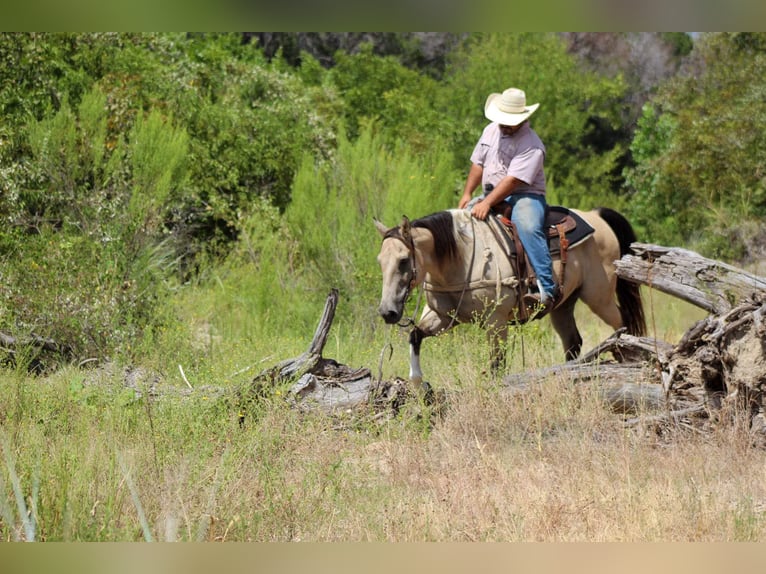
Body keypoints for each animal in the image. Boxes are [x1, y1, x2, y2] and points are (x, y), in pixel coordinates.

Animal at [378, 208, 648, 388]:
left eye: (404, 260)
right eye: (380, 261)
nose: (387, 312)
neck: (461, 257)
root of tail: (596, 215)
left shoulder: (496, 321)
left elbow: (497, 363)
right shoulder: (442, 317)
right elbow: (415, 335)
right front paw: (417, 382)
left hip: (599, 297)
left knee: (624, 323)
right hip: (563, 305)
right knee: (573, 342)